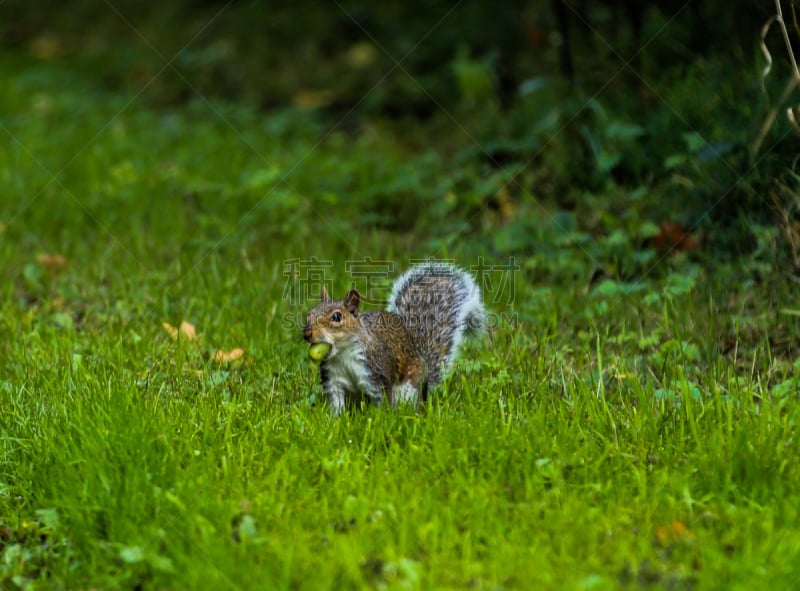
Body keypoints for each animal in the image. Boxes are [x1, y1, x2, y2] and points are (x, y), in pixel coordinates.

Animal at [304, 264, 484, 416]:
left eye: (336, 317)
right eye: (309, 314)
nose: (307, 333)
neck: (343, 354)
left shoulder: (377, 375)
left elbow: (382, 402)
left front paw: (379, 419)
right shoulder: (333, 381)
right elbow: (336, 404)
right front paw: (335, 420)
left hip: (410, 388)